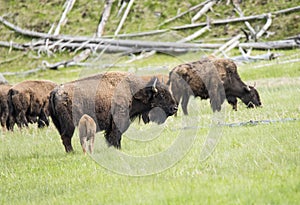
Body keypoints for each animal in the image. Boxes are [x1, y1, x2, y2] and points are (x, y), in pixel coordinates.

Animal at [48, 71, 177, 153]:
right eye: (161, 95)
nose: (174, 108)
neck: (132, 91)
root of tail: (55, 91)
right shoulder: (119, 119)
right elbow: (116, 135)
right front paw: (118, 148)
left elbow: (111, 136)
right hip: (68, 124)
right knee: (66, 137)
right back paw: (72, 152)